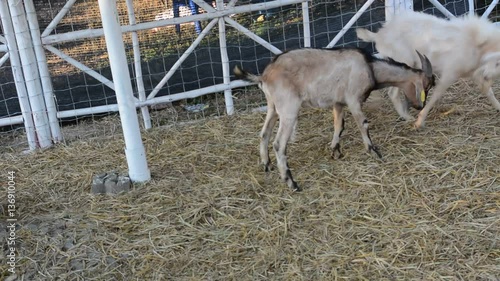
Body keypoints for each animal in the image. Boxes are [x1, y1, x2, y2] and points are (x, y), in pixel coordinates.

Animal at [234, 47, 434, 190]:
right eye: (427, 85)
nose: (420, 106)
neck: (370, 67)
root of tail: (264, 76)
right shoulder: (353, 99)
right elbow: (363, 124)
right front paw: (374, 151)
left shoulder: (338, 103)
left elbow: (339, 124)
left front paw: (335, 150)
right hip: (288, 108)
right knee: (278, 144)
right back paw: (291, 182)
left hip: (273, 107)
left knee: (264, 133)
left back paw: (266, 165)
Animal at [358, 11, 500, 127]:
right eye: (498, 62)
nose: (487, 76)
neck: (476, 43)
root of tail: (378, 35)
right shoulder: (450, 73)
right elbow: (436, 95)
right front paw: (420, 121)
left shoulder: (475, 73)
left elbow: (488, 91)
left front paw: (498, 107)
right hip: (403, 63)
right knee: (392, 92)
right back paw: (406, 117)